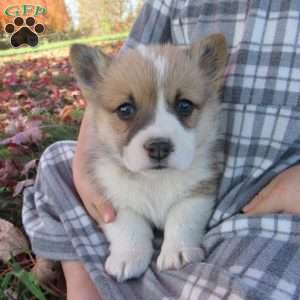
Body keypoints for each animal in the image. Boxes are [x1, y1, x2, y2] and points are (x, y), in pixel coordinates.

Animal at [70, 34, 227, 282]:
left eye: (184, 105)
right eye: (125, 109)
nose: (159, 147)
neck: (155, 181)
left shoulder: (198, 193)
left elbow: (182, 219)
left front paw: (177, 252)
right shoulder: (113, 199)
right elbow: (129, 227)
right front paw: (128, 257)